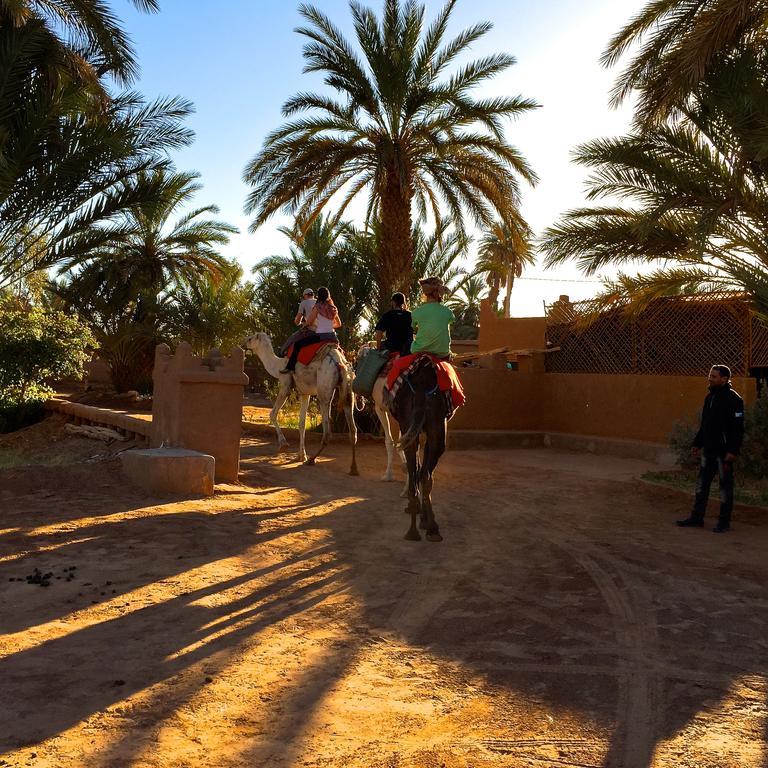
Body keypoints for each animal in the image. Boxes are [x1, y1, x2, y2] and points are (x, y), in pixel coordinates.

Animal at [244, 332, 358, 474]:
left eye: (250, 338)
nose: (243, 343)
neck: (278, 365)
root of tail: (340, 363)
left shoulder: (285, 384)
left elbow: (273, 414)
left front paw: (284, 445)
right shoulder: (305, 393)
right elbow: (302, 423)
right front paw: (301, 455)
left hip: (324, 388)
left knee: (327, 431)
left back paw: (312, 460)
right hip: (349, 389)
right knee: (353, 429)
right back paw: (353, 468)